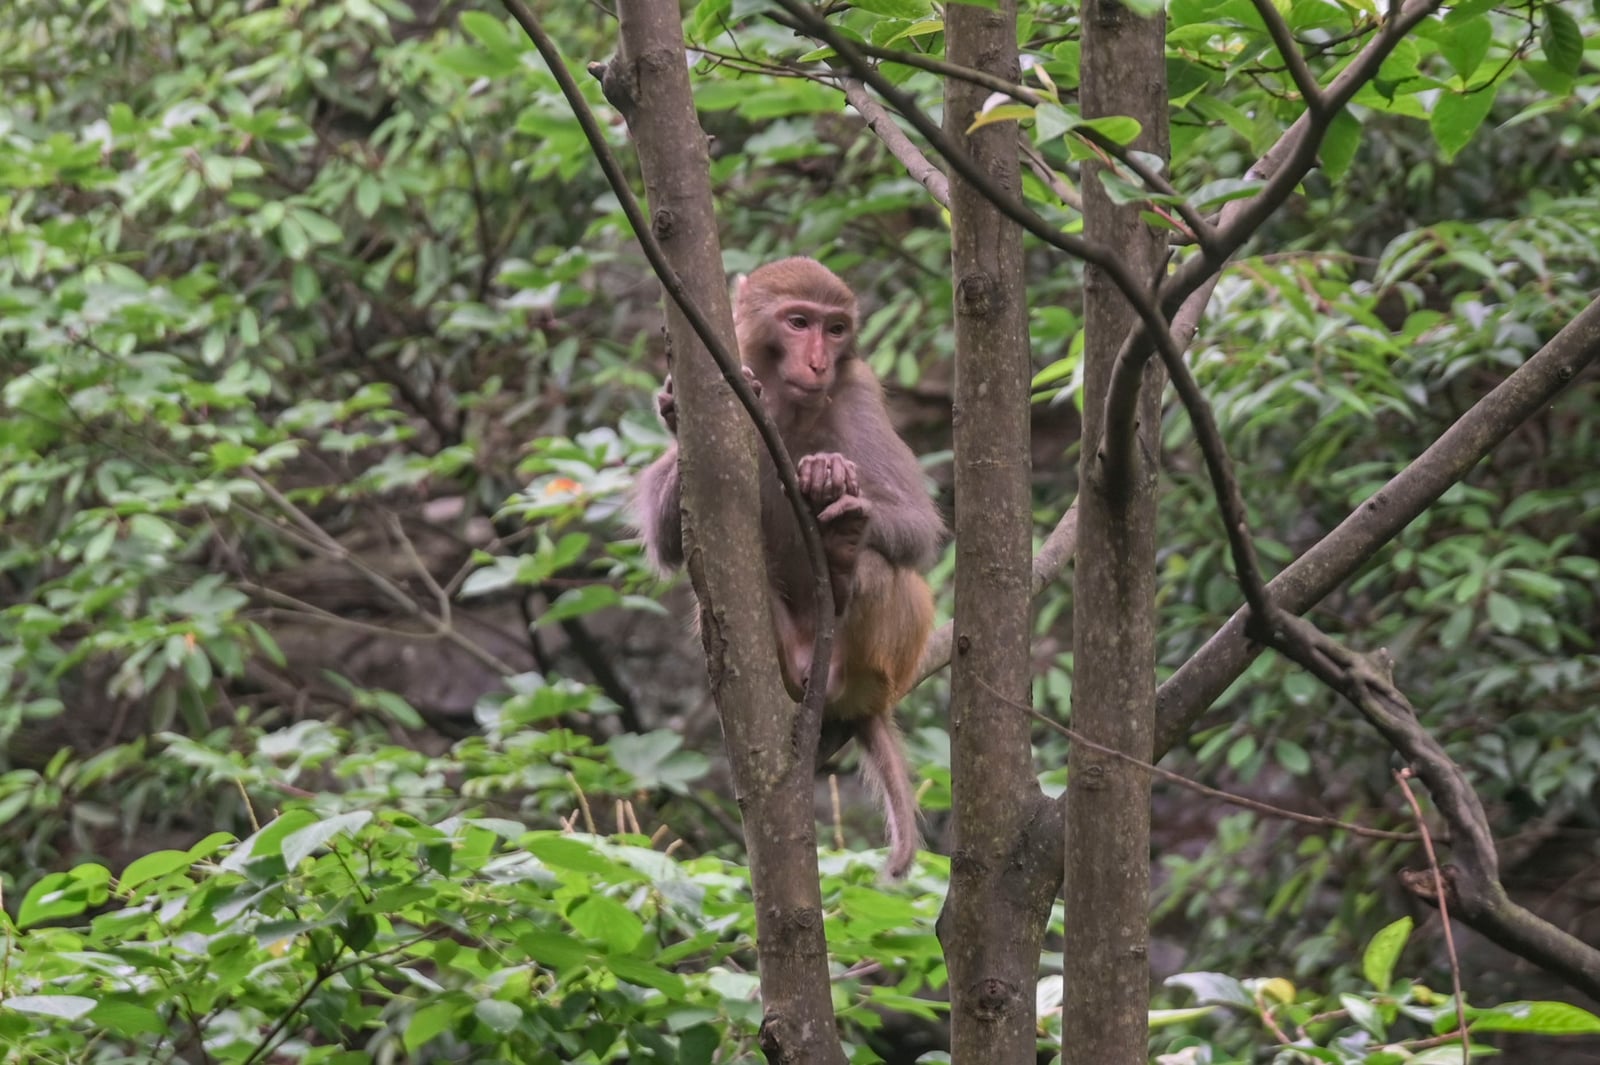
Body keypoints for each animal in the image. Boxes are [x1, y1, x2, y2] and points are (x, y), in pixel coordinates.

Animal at [635, 257, 943, 879]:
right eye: (798, 322)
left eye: (835, 329)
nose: (820, 362)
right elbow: (667, 540)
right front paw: (674, 410)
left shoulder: (858, 393)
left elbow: (919, 526)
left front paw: (832, 485)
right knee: (713, 598)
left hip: (885, 664)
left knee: (883, 570)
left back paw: (845, 555)